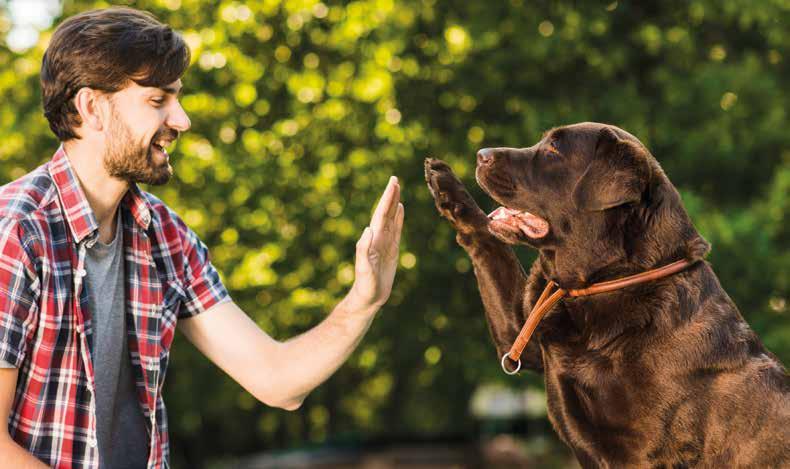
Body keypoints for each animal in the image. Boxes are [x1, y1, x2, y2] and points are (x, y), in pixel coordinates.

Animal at [430, 122, 788, 466]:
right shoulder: (524, 337)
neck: (610, 280)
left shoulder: (638, 453)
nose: (481, 154)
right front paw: (447, 186)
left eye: (554, 149)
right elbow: (493, 248)